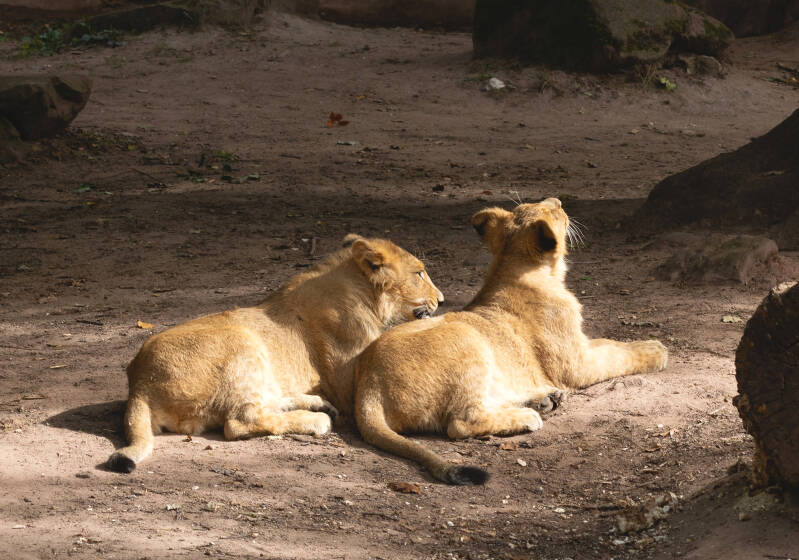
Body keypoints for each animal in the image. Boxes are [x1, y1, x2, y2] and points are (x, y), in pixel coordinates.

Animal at [106, 234, 444, 473]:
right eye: (419, 274)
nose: (441, 299)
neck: (364, 293)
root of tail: (139, 384)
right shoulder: (350, 387)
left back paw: (315, 403)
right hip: (243, 342)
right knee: (240, 420)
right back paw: (317, 419)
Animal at [353, 198, 668, 485]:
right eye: (554, 211)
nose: (559, 200)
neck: (514, 270)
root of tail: (367, 387)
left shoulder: (580, 347)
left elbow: (609, 342)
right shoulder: (576, 365)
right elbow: (618, 354)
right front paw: (656, 349)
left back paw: (544, 400)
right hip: (467, 337)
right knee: (461, 422)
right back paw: (528, 415)